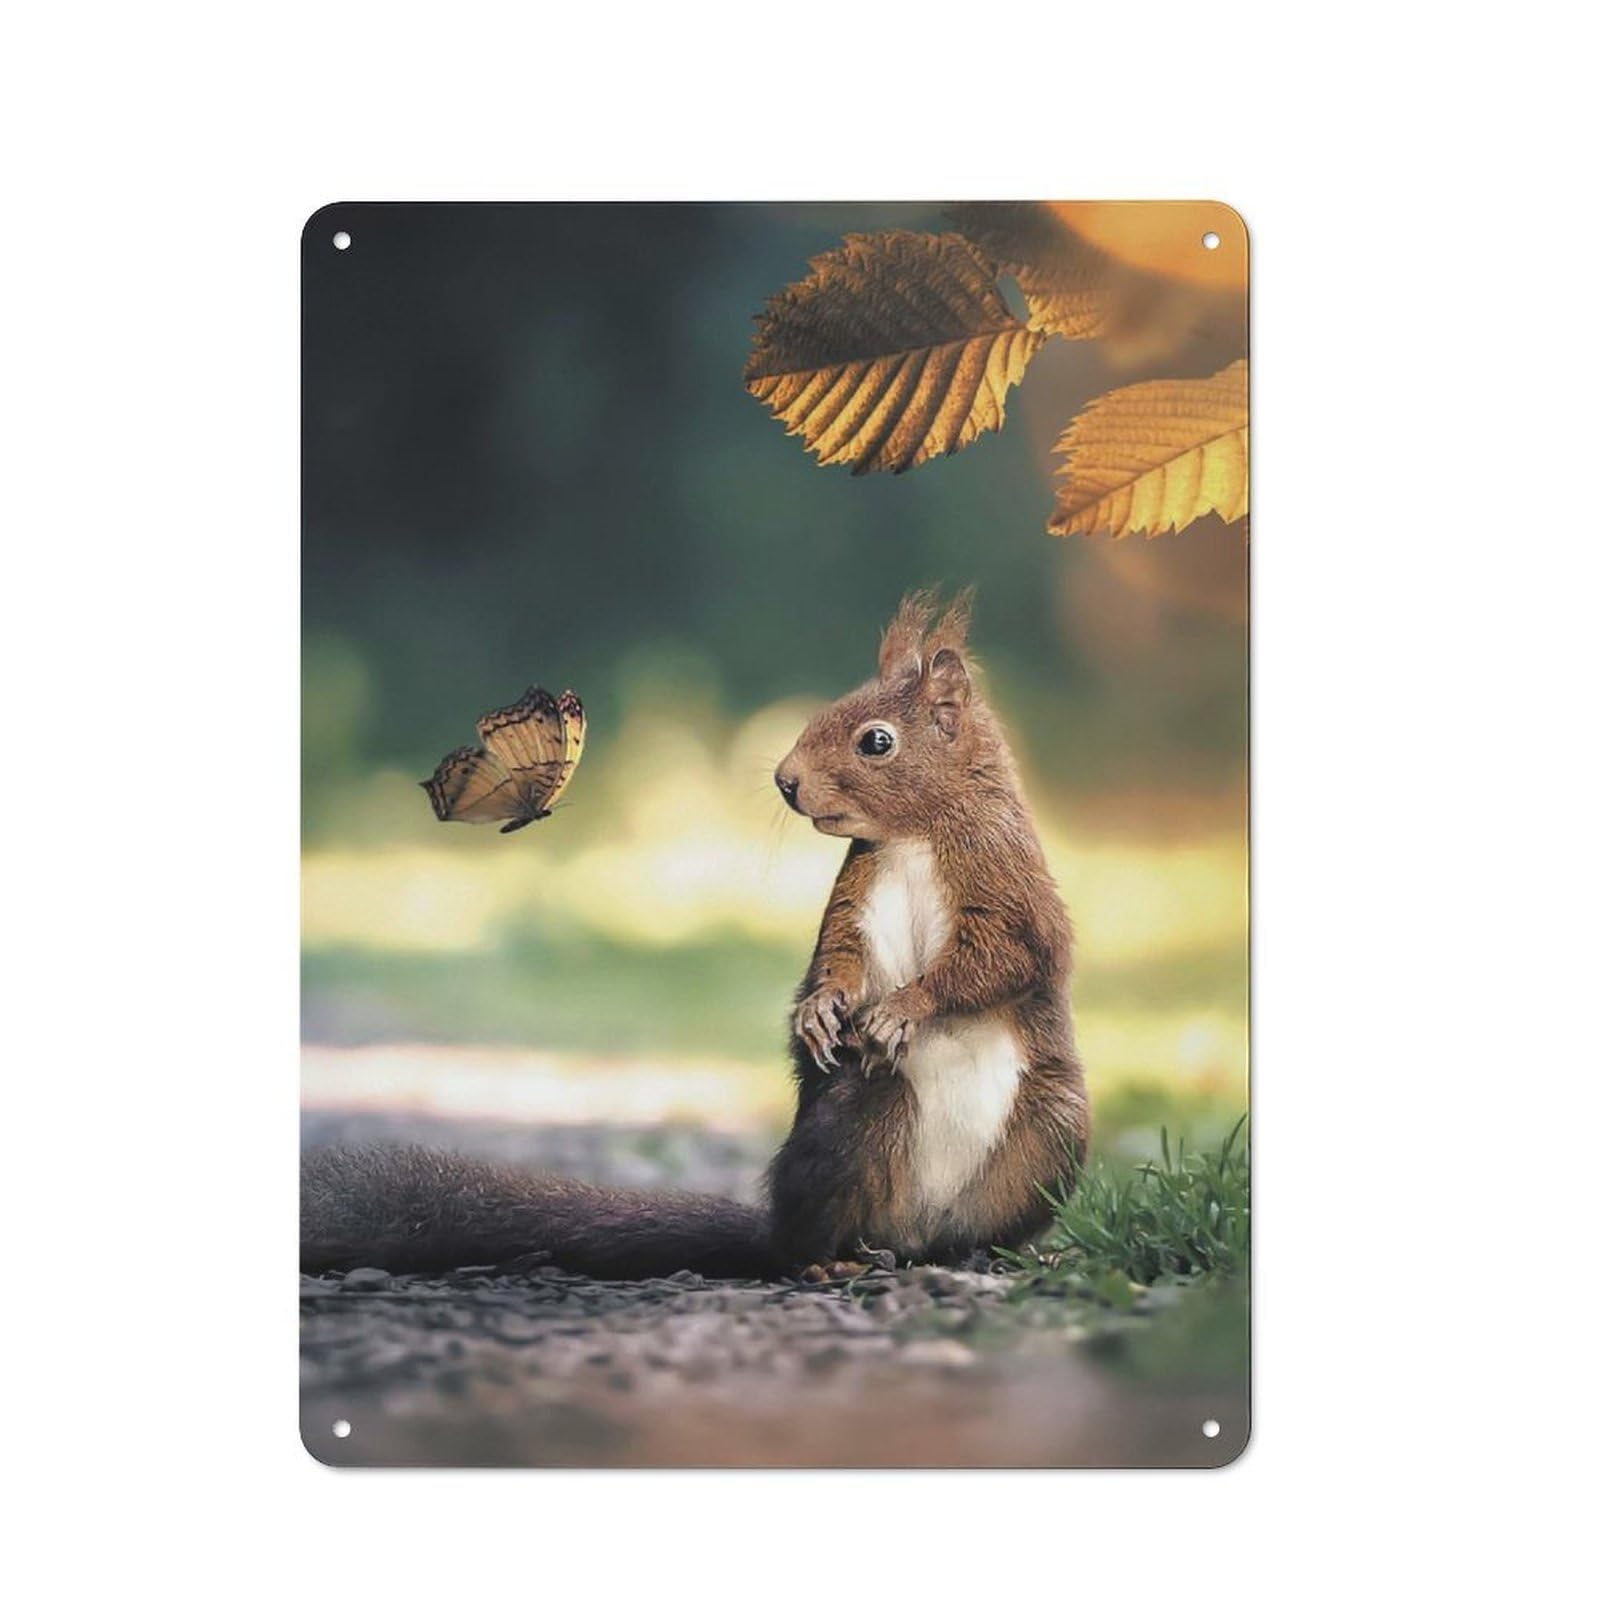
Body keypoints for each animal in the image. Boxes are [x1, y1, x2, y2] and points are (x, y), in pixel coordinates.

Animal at [301, 591, 1089, 1279]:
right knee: (812, 1231)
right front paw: (818, 1011)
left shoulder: (1007, 883)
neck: (915, 835)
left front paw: (902, 1008)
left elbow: (1000, 958)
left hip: (1052, 1132)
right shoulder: (856, 896)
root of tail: (914, 1235)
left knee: (979, 1227)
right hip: (861, 1118)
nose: (785, 780)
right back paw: (824, 1260)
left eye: (877, 742)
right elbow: (838, 958)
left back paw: (1004, 1252)